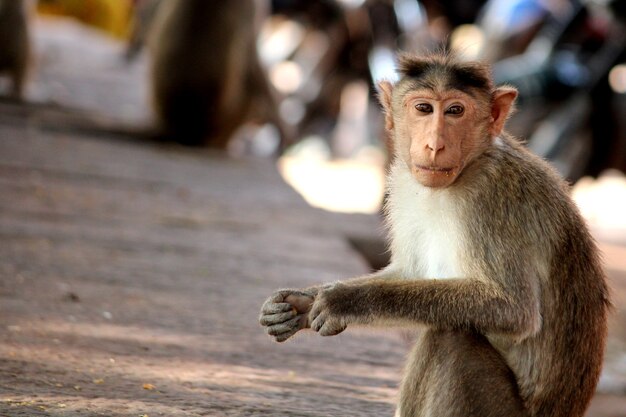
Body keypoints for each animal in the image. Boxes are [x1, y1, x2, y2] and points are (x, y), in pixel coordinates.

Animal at [256, 52, 608, 416]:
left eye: (455, 111)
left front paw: (344, 301)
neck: (468, 168)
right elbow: (409, 271)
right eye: (424, 108)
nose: (435, 145)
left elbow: (513, 309)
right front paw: (300, 302)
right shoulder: (403, 183)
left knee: (450, 339)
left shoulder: (493, 200)